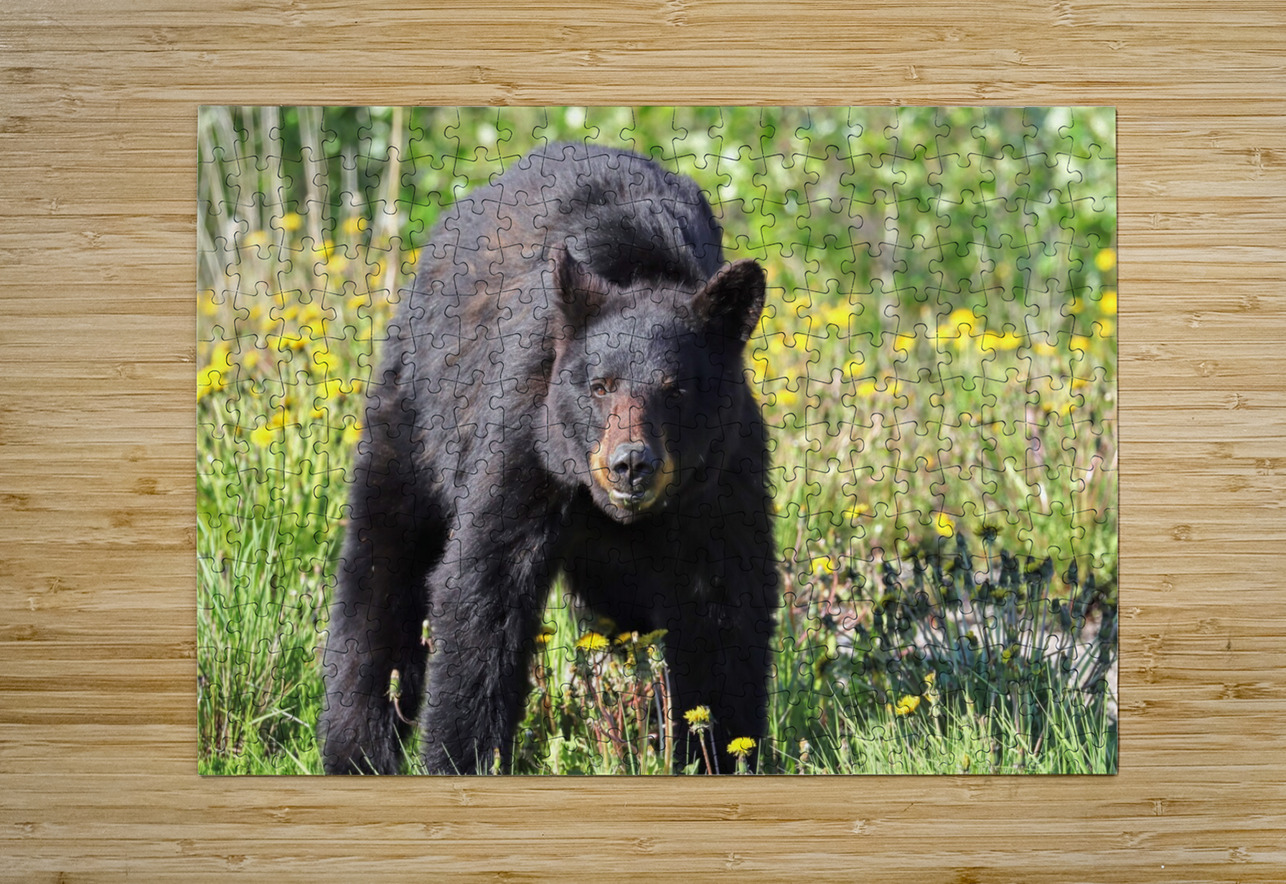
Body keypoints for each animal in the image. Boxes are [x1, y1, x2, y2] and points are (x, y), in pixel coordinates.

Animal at [319, 142, 779, 775]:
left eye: (677, 388)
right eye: (601, 386)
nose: (630, 464)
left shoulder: (723, 477)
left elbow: (725, 606)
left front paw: (721, 750)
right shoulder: (523, 437)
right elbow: (484, 589)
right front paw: (463, 756)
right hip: (415, 417)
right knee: (382, 571)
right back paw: (356, 749)